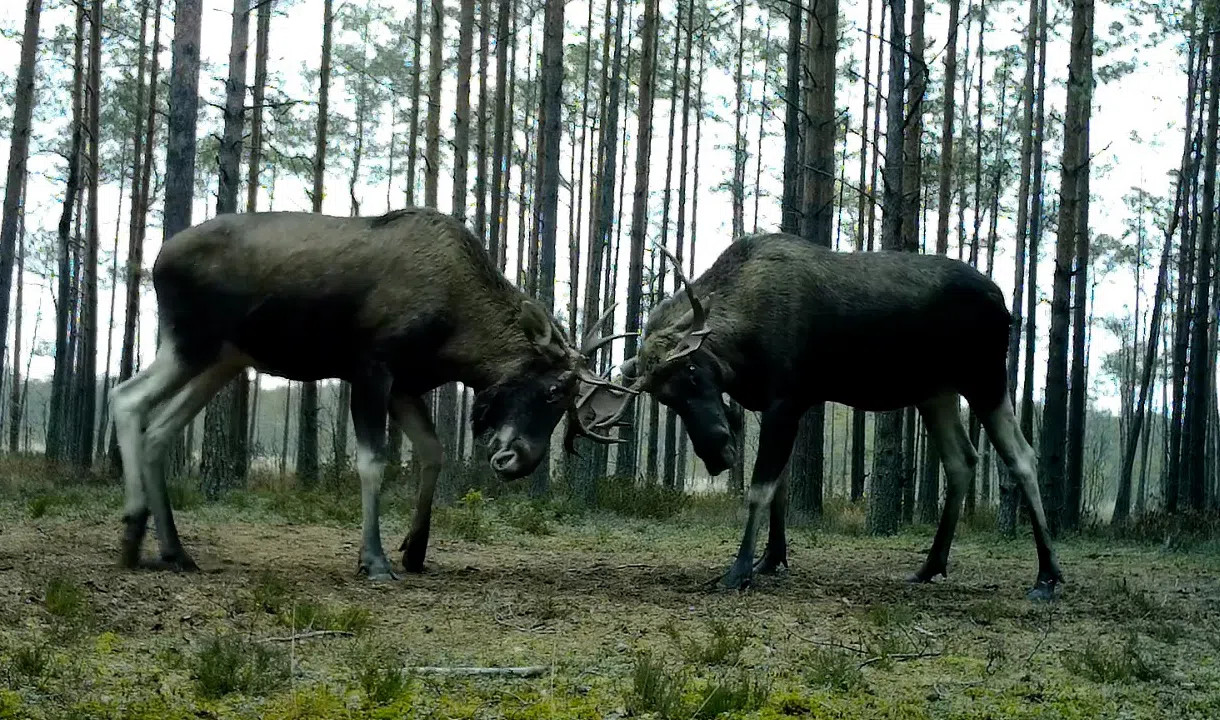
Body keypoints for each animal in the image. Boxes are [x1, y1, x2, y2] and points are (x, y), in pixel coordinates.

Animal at [109, 207, 629, 580]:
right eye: (555, 389)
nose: (519, 461)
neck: (457, 337)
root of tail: (156, 261)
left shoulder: (405, 386)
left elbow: (433, 452)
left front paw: (415, 550)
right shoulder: (371, 368)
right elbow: (373, 462)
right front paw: (373, 559)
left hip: (223, 359)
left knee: (159, 429)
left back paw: (172, 549)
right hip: (190, 341)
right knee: (126, 398)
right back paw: (133, 528)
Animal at [575, 234, 1063, 600]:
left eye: (695, 371)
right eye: (666, 399)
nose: (717, 454)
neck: (742, 346)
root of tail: (1004, 303)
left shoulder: (786, 400)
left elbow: (760, 489)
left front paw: (740, 569)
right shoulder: (782, 406)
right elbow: (781, 490)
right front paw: (771, 559)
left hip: (985, 377)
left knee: (1022, 456)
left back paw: (1047, 575)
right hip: (935, 392)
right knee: (962, 460)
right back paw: (930, 566)